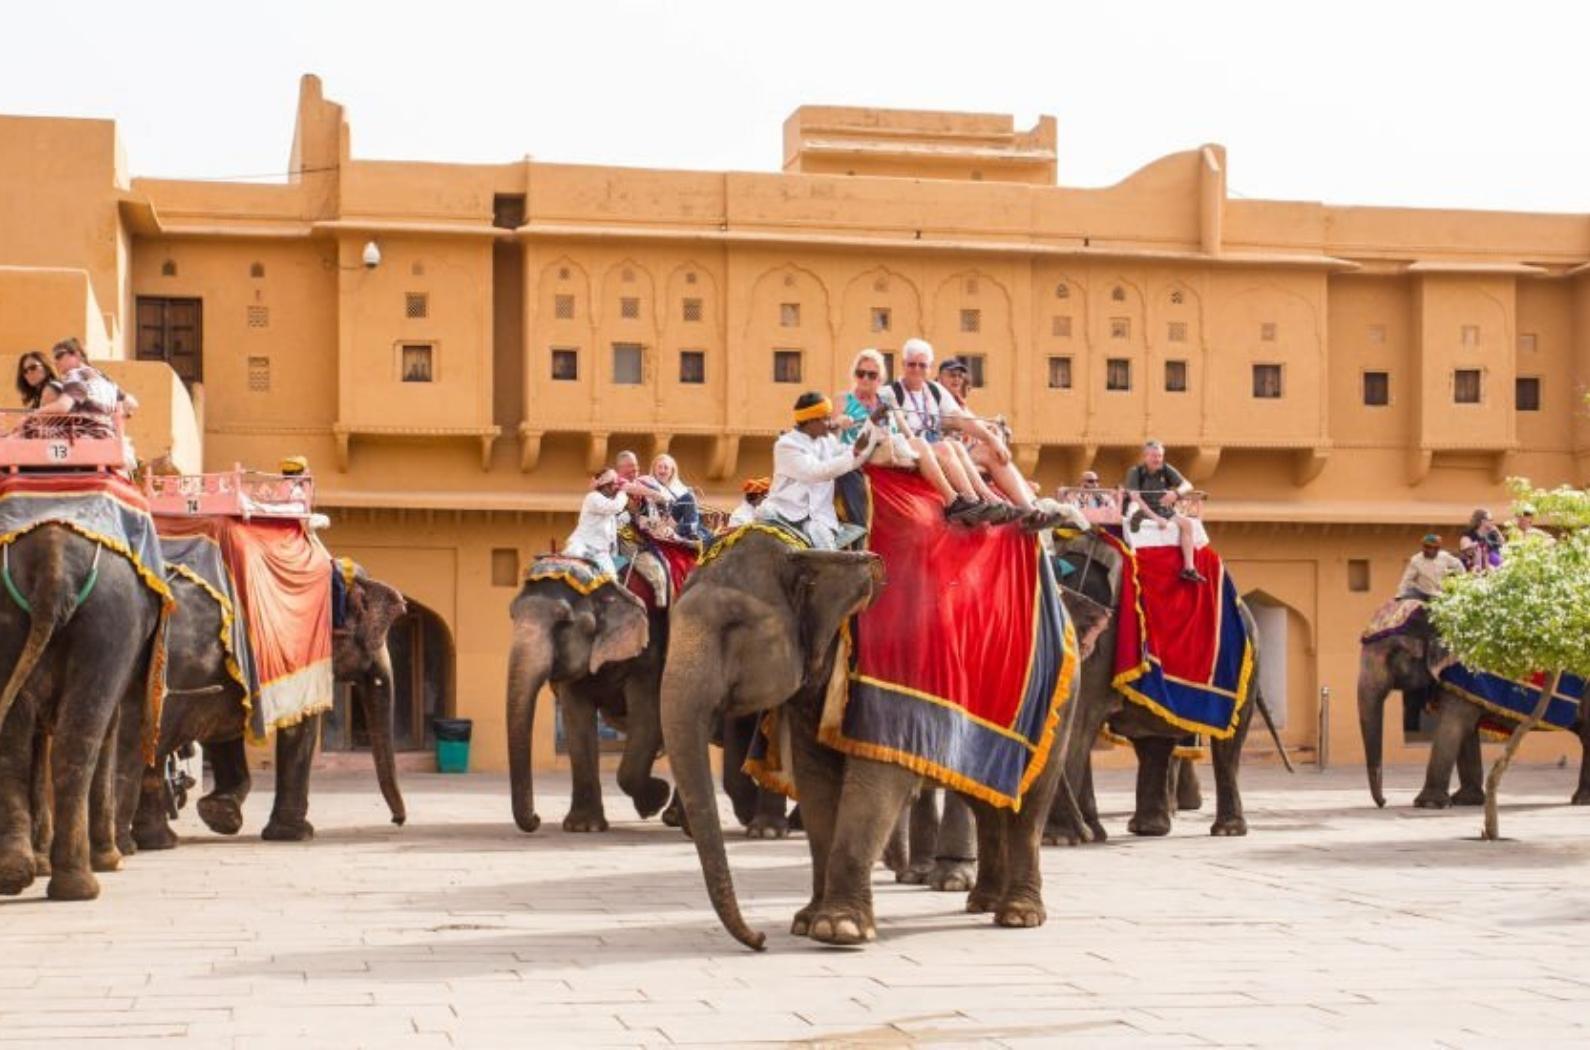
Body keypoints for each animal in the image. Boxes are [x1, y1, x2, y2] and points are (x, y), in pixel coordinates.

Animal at [0, 521, 162, 897]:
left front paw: (40, 864)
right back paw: (80, 886)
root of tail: (54, 558)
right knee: (78, 740)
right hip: (109, 623)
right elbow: (110, 723)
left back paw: (15, 875)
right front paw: (111, 862)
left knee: (13, 745)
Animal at [129, 563, 410, 846]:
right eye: (375, 639)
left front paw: (220, 815)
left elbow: (223, 725)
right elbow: (299, 727)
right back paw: (159, 841)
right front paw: (295, 835)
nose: (397, 820)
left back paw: (154, 840)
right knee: (157, 744)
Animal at [505, 563, 661, 833]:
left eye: (562, 622)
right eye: (512, 616)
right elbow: (576, 723)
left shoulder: (648, 654)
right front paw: (583, 827)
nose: (537, 818)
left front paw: (655, 801)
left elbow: (647, 721)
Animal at [658, 528, 1081, 948]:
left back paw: (1018, 915)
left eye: (734, 624)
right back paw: (983, 903)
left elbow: (874, 786)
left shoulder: (893, 675)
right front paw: (806, 922)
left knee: (1028, 806)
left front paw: (838, 930)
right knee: (987, 801)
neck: (812, 552)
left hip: (1057, 702)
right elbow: (816, 785)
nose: (759, 939)